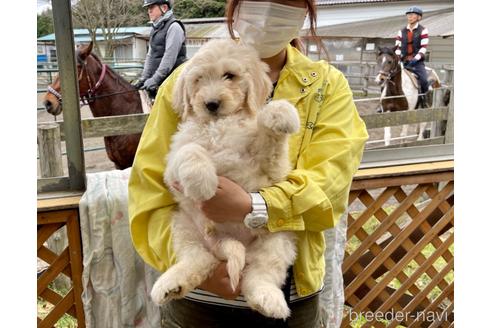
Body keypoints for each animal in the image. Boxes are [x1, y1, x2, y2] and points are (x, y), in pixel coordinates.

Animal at [150, 39, 298, 320]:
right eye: (198, 79)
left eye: (230, 76)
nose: (211, 103)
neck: (219, 125)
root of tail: (225, 241)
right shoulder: (173, 162)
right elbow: (191, 150)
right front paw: (203, 183)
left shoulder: (269, 168)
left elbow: (271, 139)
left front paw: (281, 113)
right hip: (184, 226)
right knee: (198, 259)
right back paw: (171, 284)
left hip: (277, 238)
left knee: (261, 273)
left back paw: (268, 299)